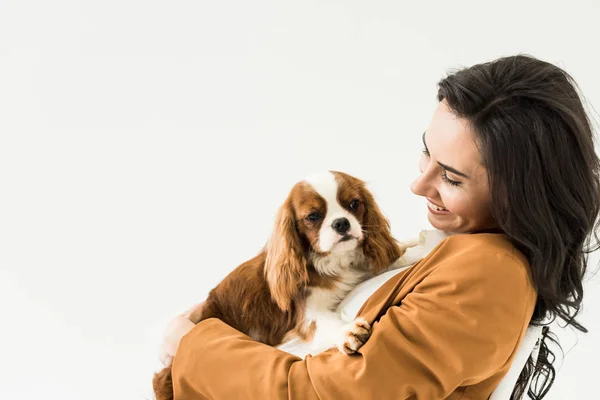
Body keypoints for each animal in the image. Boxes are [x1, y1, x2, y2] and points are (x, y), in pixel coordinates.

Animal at [152, 170, 410, 400]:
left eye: (354, 204)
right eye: (313, 216)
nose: (341, 223)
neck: (332, 260)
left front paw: (413, 249)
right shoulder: (306, 315)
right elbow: (324, 323)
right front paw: (347, 331)